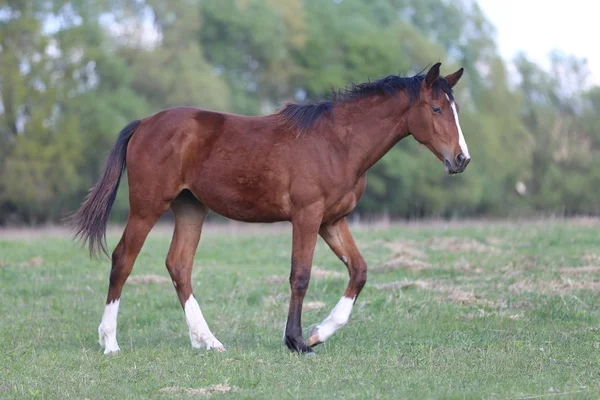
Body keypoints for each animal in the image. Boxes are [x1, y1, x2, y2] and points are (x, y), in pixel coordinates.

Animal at [70, 61, 472, 354]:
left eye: (455, 109)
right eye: (436, 108)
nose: (461, 159)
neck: (338, 143)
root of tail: (144, 124)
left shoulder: (332, 221)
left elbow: (359, 271)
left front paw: (319, 333)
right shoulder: (307, 217)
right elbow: (301, 276)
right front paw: (296, 341)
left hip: (191, 209)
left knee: (179, 265)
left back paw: (208, 341)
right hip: (148, 207)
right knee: (123, 258)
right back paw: (110, 342)